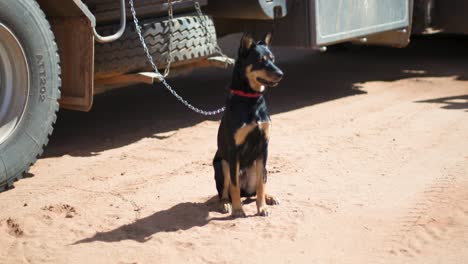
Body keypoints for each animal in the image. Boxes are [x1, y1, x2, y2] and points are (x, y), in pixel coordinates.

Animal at [213, 33, 286, 217]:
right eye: (260, 60)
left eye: (273, 59)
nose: (281, 74)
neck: (251, 99)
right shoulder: (233, 151)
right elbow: (234, 185)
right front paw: (238, 209)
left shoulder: (263, 148)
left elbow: (261, 184)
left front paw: (262, 207)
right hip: (222, 165)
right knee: (225, 192)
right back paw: (226, 204)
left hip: (260, 167)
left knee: (258, 186)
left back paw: (269, 197)